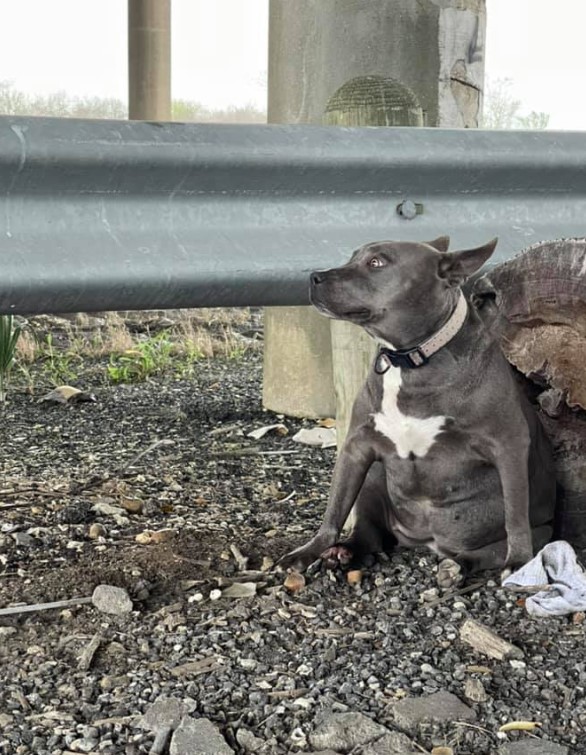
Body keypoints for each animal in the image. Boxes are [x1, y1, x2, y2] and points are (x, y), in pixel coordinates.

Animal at [280, 239, 556, 588]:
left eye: (377, 262)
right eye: (354, 256)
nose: (315, 276)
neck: (409, 361)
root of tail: (429, 542)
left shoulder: (508, 446)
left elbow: (515, 515)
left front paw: (519, 561)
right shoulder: (356, 448)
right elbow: (334, 509)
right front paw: (310, 551)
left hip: (543, 529)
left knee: (488, 549)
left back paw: (459, 565)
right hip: (374, 475)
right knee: (368, 533)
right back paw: (344, 552)